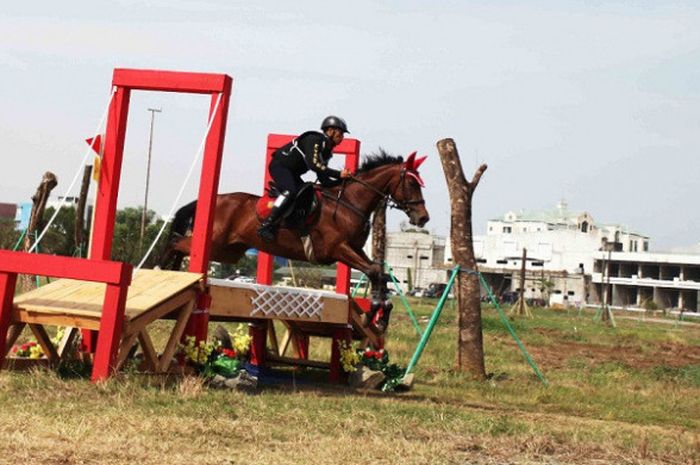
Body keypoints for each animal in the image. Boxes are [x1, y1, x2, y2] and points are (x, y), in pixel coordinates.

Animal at [161, 151, 430, 330]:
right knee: (175, 242)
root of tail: (218, 199)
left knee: (181, 244)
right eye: (411, 183)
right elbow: (374, 270)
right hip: (216, 244)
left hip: (228, 251)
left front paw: (382, 314)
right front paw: (372, 311)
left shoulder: (354, 249)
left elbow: (379, 272)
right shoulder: (339, 249)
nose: (423, 217)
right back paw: (164, 271)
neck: (348, 204)